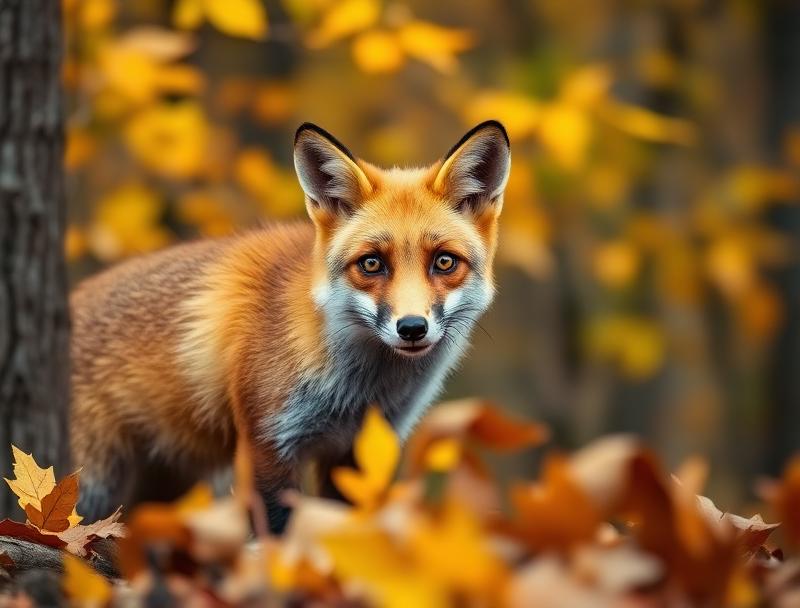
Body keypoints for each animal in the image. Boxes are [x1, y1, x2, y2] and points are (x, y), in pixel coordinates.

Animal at [70, 120, 510, 533]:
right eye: (371, 264)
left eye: (444, 262)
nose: (413, 327)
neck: (356, 393)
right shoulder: (267, 440)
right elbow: (276, 532)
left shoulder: (358, 453)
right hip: (92, 483)